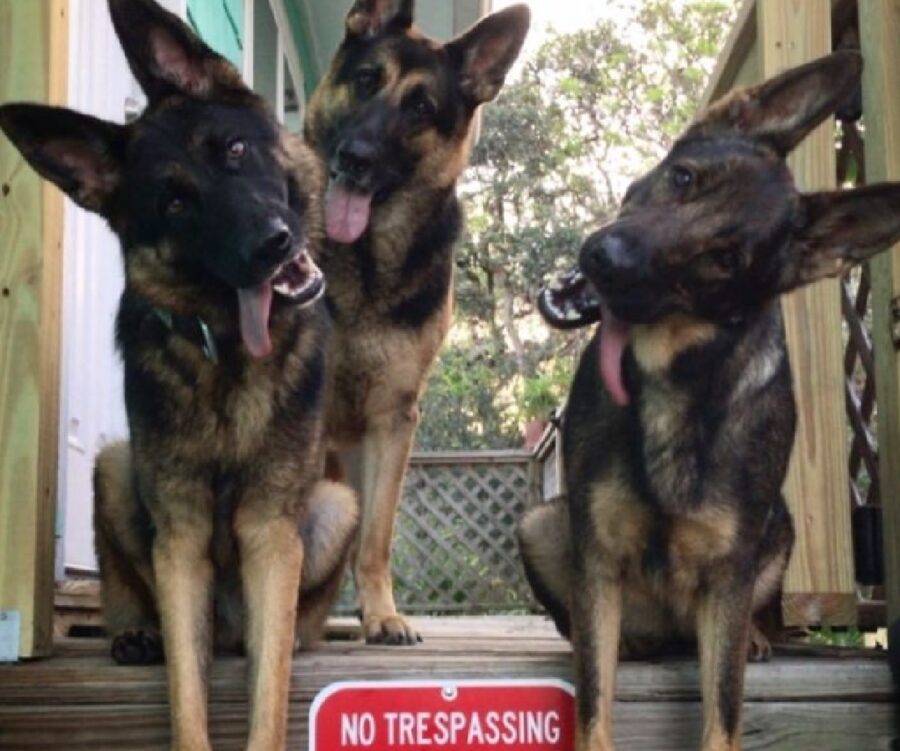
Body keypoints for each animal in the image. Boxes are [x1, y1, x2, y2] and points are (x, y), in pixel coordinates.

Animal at [0, 2, 358, 748]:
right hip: (114, 467)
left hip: (336, 505)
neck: (229, 354)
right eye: (174, 203)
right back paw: (134, 632)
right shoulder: (183, 543)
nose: (272, 245)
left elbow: (268, 694)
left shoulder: (270, 536)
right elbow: (186, 695)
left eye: (236, 151)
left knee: (289, 630)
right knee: (131, 594)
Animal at [306, 1, 528, 648]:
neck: (365, 260)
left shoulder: (394, 419)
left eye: (421, 108)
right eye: (365, 80)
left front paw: (381, 614)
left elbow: (376, 538)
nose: (355, 158)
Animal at [516, 50, 900, 748]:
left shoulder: (729, 570)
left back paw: (756, 639)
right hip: (542, 525)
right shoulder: (597, 556)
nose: (607, 258)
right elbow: (593, 708)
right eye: (683, 177)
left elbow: (723, 713)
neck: (670, 376)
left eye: (723, 259)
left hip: (776, 529)